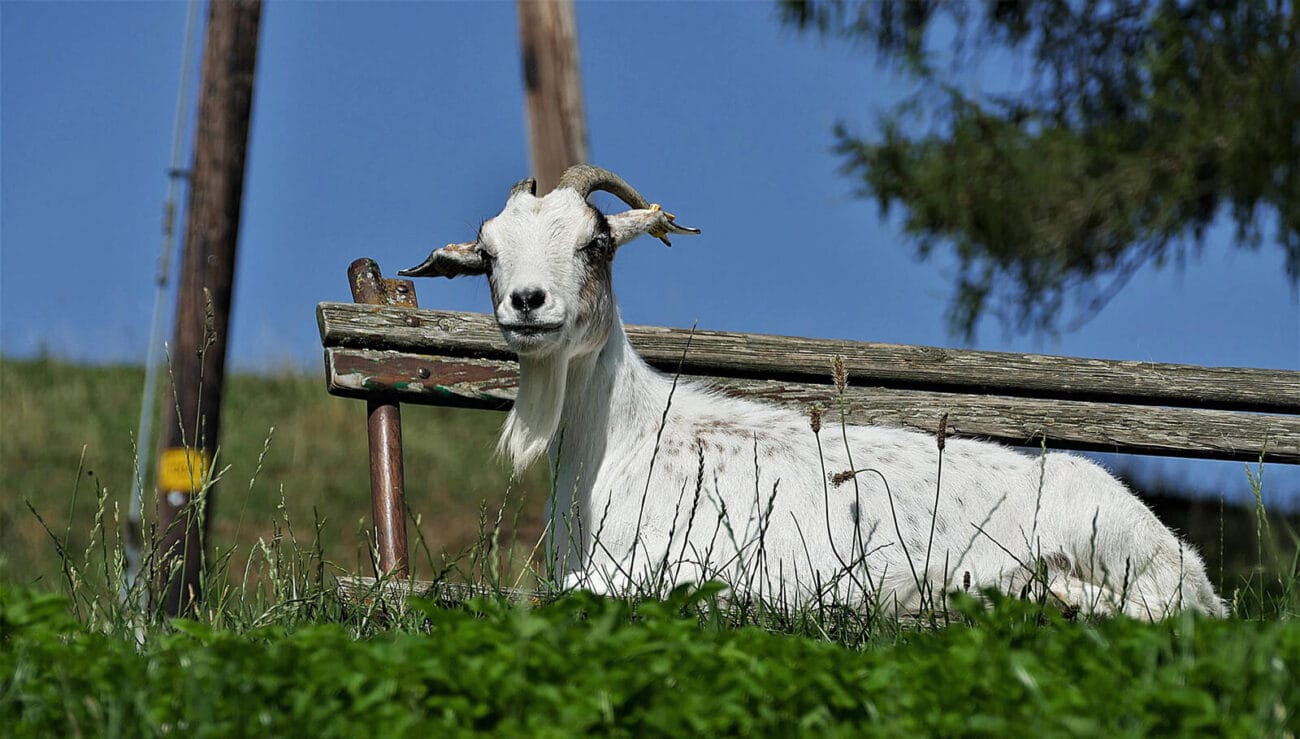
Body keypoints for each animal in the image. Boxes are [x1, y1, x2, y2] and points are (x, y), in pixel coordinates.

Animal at [400, 164, 1227, 619]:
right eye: (488, 256)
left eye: (596, 243)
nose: (528, 303)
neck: (625, 440)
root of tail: (1191, 565)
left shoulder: (690, 558)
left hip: (1107, 543)